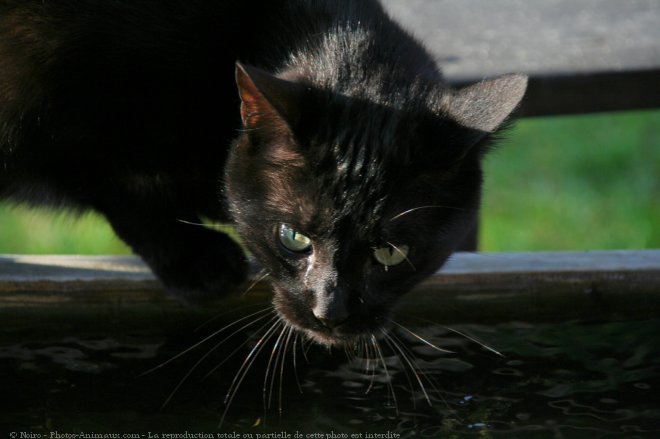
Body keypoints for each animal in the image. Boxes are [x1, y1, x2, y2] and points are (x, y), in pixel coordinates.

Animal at [0, 0, 524, 348]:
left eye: (391, 252)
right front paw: (199, 263)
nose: (330, 312)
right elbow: (121, 184)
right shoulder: (57, 110)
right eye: (292, 238)